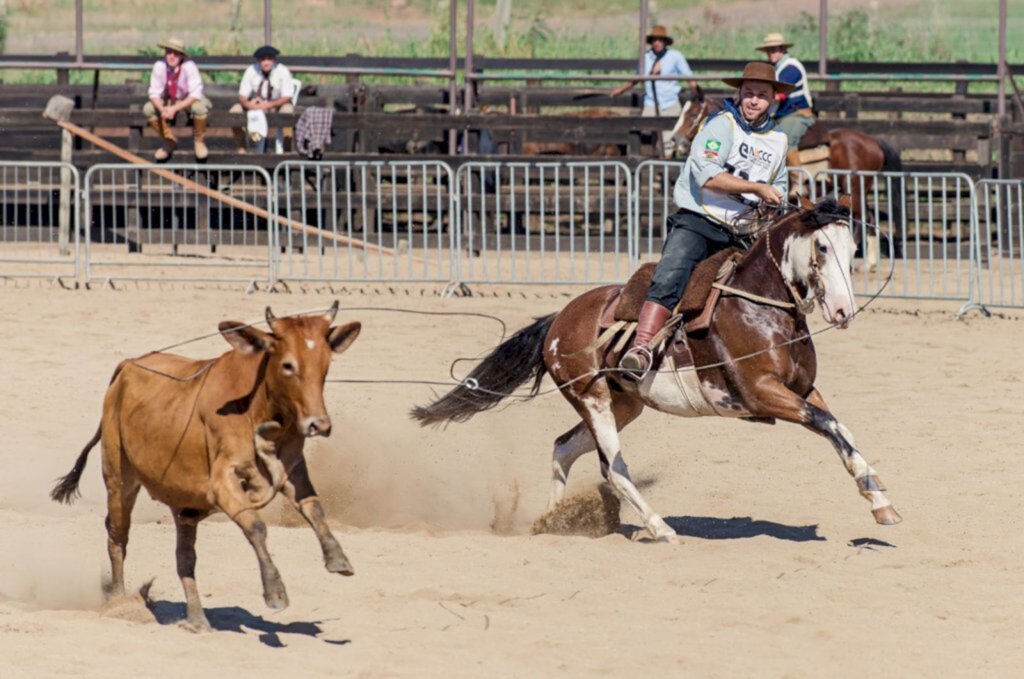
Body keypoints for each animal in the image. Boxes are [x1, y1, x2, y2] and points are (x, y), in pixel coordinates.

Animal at [411, 199, 901, 544]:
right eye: (822, 246)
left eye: (853, 250)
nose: (844, 311)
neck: (759, 304)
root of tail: (559, 319)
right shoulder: (762, 392)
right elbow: (828, 424)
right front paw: (878, 496)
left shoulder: (803, 389)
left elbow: (839, 428)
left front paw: (879, 499)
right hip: (594, 400)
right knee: (615, 468)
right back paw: (659, 527)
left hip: (625, 403)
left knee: (564, 448)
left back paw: (553, 520)